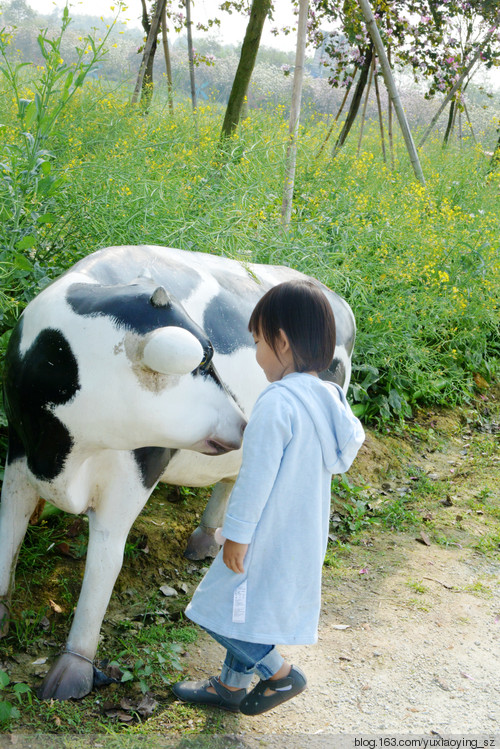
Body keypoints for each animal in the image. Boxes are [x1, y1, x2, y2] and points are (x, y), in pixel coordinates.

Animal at [0, 245, 356, 700]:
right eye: (202, 363)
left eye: (211, 355)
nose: (245, 422)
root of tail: (337, 298)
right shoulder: (19, 452)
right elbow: (8, 535)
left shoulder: (136, 469)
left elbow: (106, 563)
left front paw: (70, 674)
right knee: (233, 481)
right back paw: (204, 542)